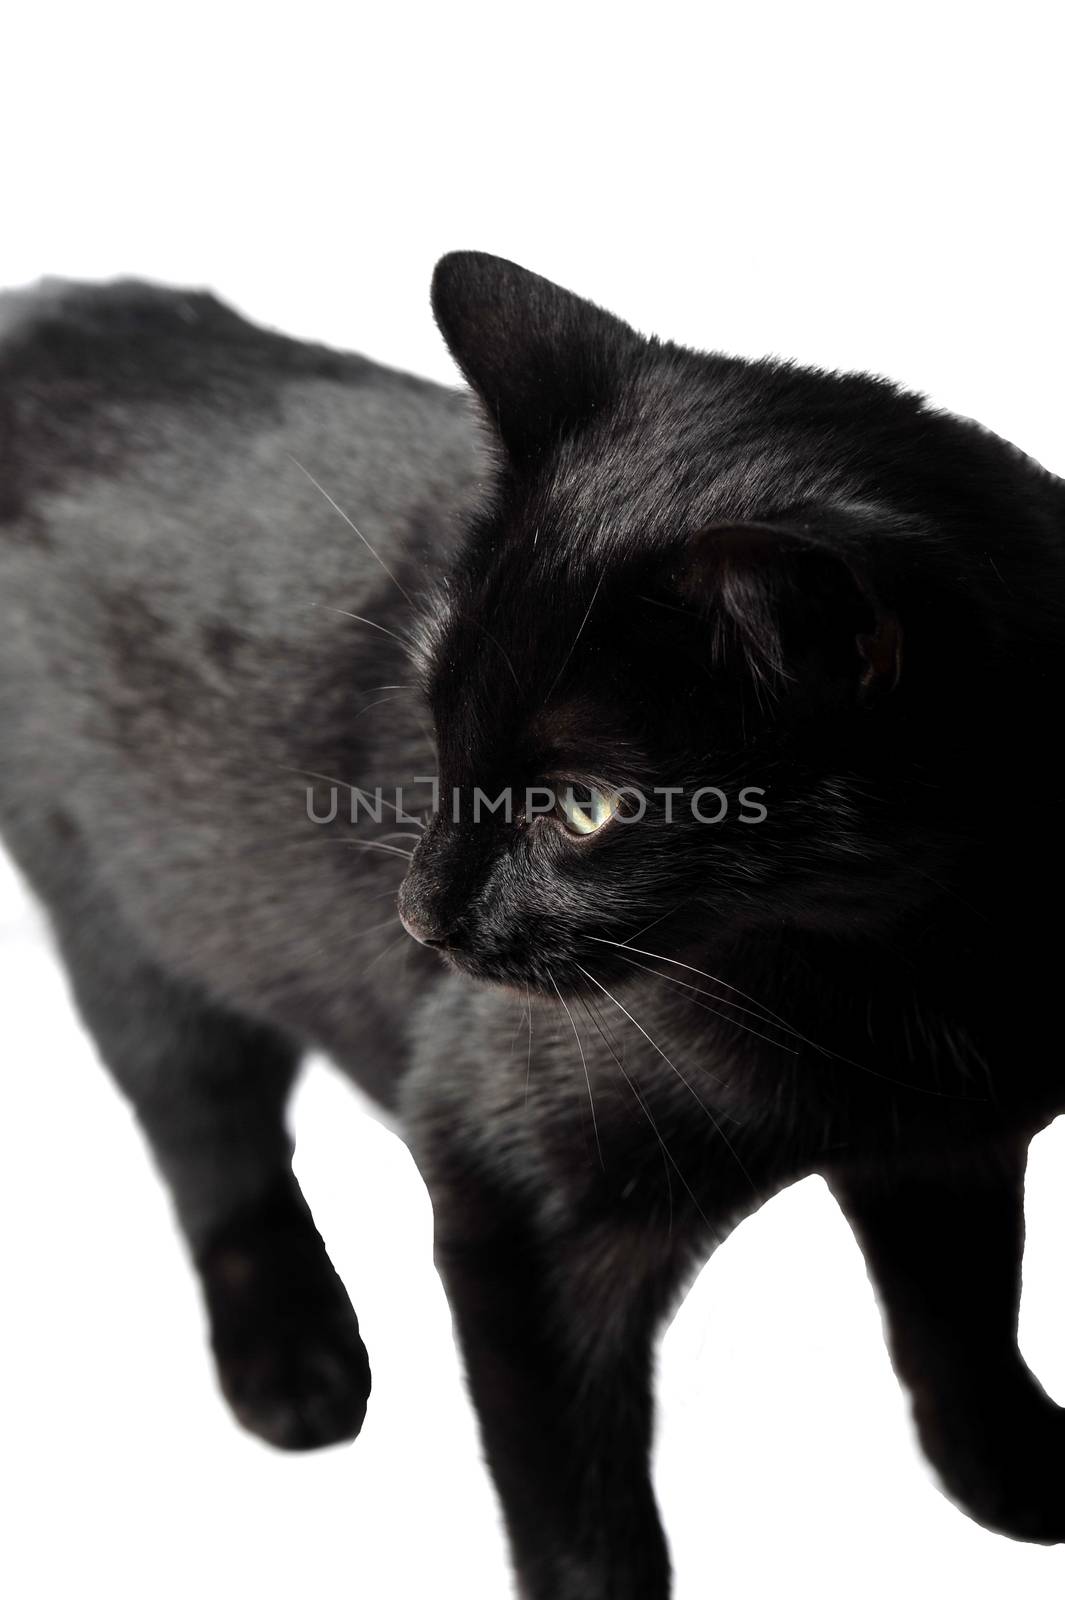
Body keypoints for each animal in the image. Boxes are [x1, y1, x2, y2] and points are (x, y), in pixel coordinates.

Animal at [0, 256, 1055, 1593]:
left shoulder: (949, 1142)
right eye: (436, 717)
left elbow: (963, 1312)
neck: (902, 959)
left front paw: (1011, 1468)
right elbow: (577, 1507)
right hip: (122, 909)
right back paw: (292, 1356)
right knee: (207, 1132)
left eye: (587, 808)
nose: (422, 915)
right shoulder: (508, 1190)